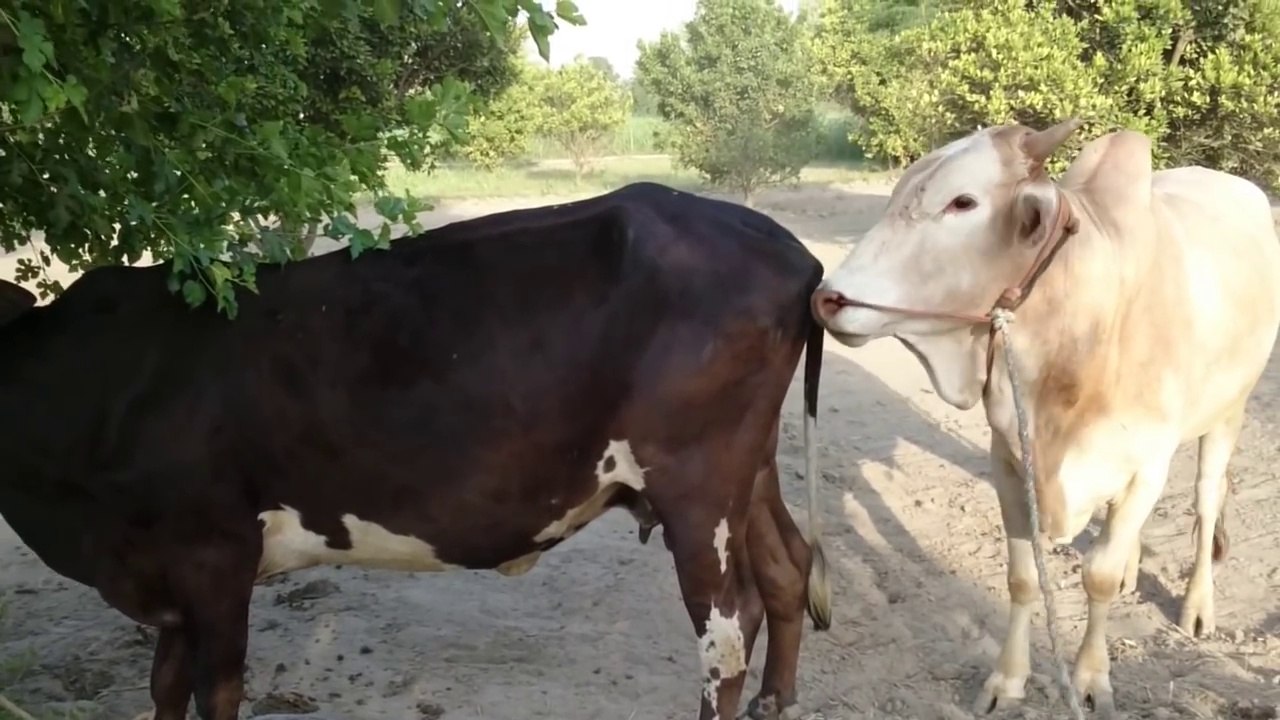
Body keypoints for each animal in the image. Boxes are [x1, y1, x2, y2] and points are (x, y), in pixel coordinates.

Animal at [0, 182, 833, 720]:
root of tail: (785, 247)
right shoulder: (168, 580)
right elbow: (165, 691)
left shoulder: (214, 557)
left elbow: (218, 693)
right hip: (747, 471)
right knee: (784, 570)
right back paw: (778, 696)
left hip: (696, 482)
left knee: (724, 633)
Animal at [810, 120, 1280, 717]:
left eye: (963, 202)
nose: (828, 299)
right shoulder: (1011, 463)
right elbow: (1023, 577)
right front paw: (1007, 681)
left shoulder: (1146, 465)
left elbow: (1097, 576)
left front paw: (1091, 678)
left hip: (1227, 413)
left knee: (1205, 501)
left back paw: (1197, 604)